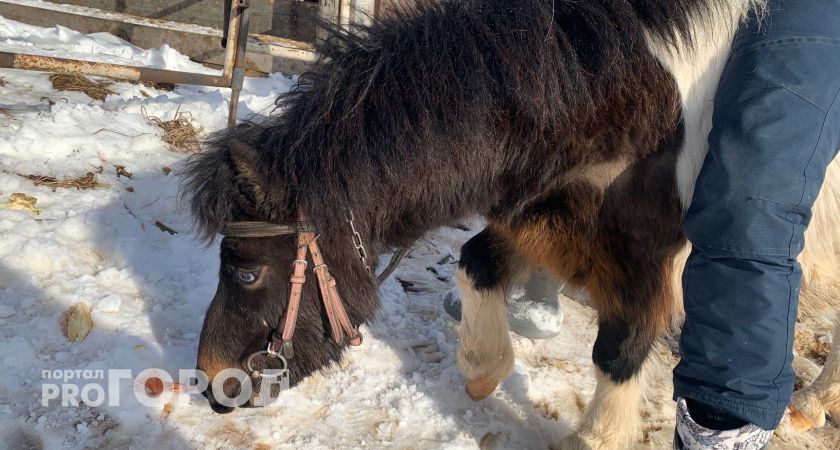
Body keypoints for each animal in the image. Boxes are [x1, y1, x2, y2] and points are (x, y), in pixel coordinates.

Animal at [181, 0, 840, 447]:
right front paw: (482, 373)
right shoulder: (549, 216)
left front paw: (596, 436)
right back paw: (809, 406)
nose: (213, 383)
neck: (630, 93)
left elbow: (621, 348)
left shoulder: (643, 253)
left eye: (245, 273)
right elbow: (476, 264)